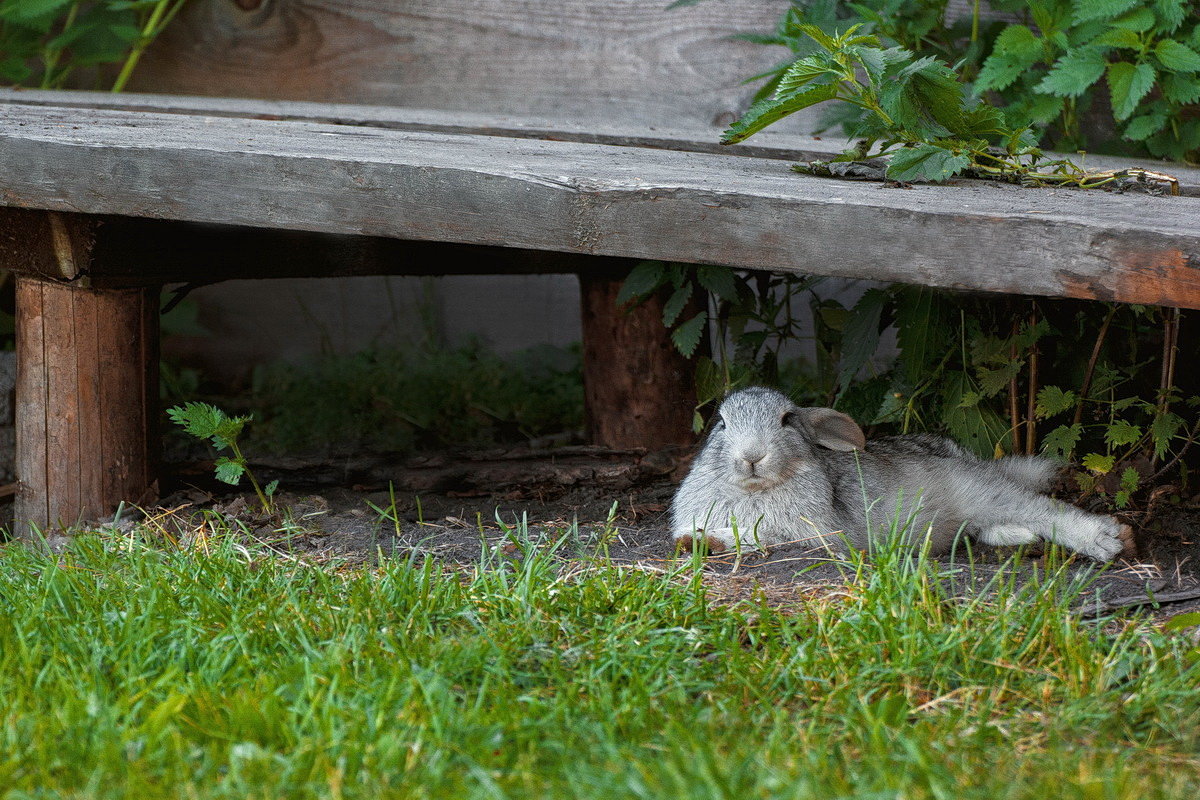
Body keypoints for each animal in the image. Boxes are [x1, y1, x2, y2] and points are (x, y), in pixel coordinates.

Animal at [676, 388, 1132, 563]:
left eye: (786, 420)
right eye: (721, 423)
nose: (752, 456)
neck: (756, 488)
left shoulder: (813, 534)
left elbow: (757, 534)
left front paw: (706, 541)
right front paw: (691, 540)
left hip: (980, 490)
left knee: (1044, 509)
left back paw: (1108, 540)